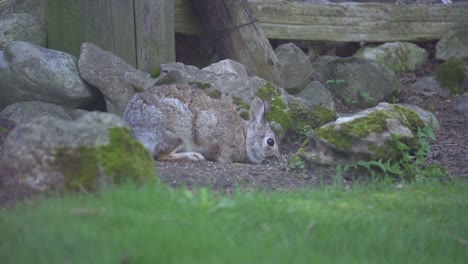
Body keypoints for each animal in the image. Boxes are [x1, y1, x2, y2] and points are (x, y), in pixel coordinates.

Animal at [122, 84, 282, 163]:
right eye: (270, 142)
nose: (278, 160)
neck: (244, 137)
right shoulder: (209, 129)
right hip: (175, 136)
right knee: (163, 155)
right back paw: (194, 156)